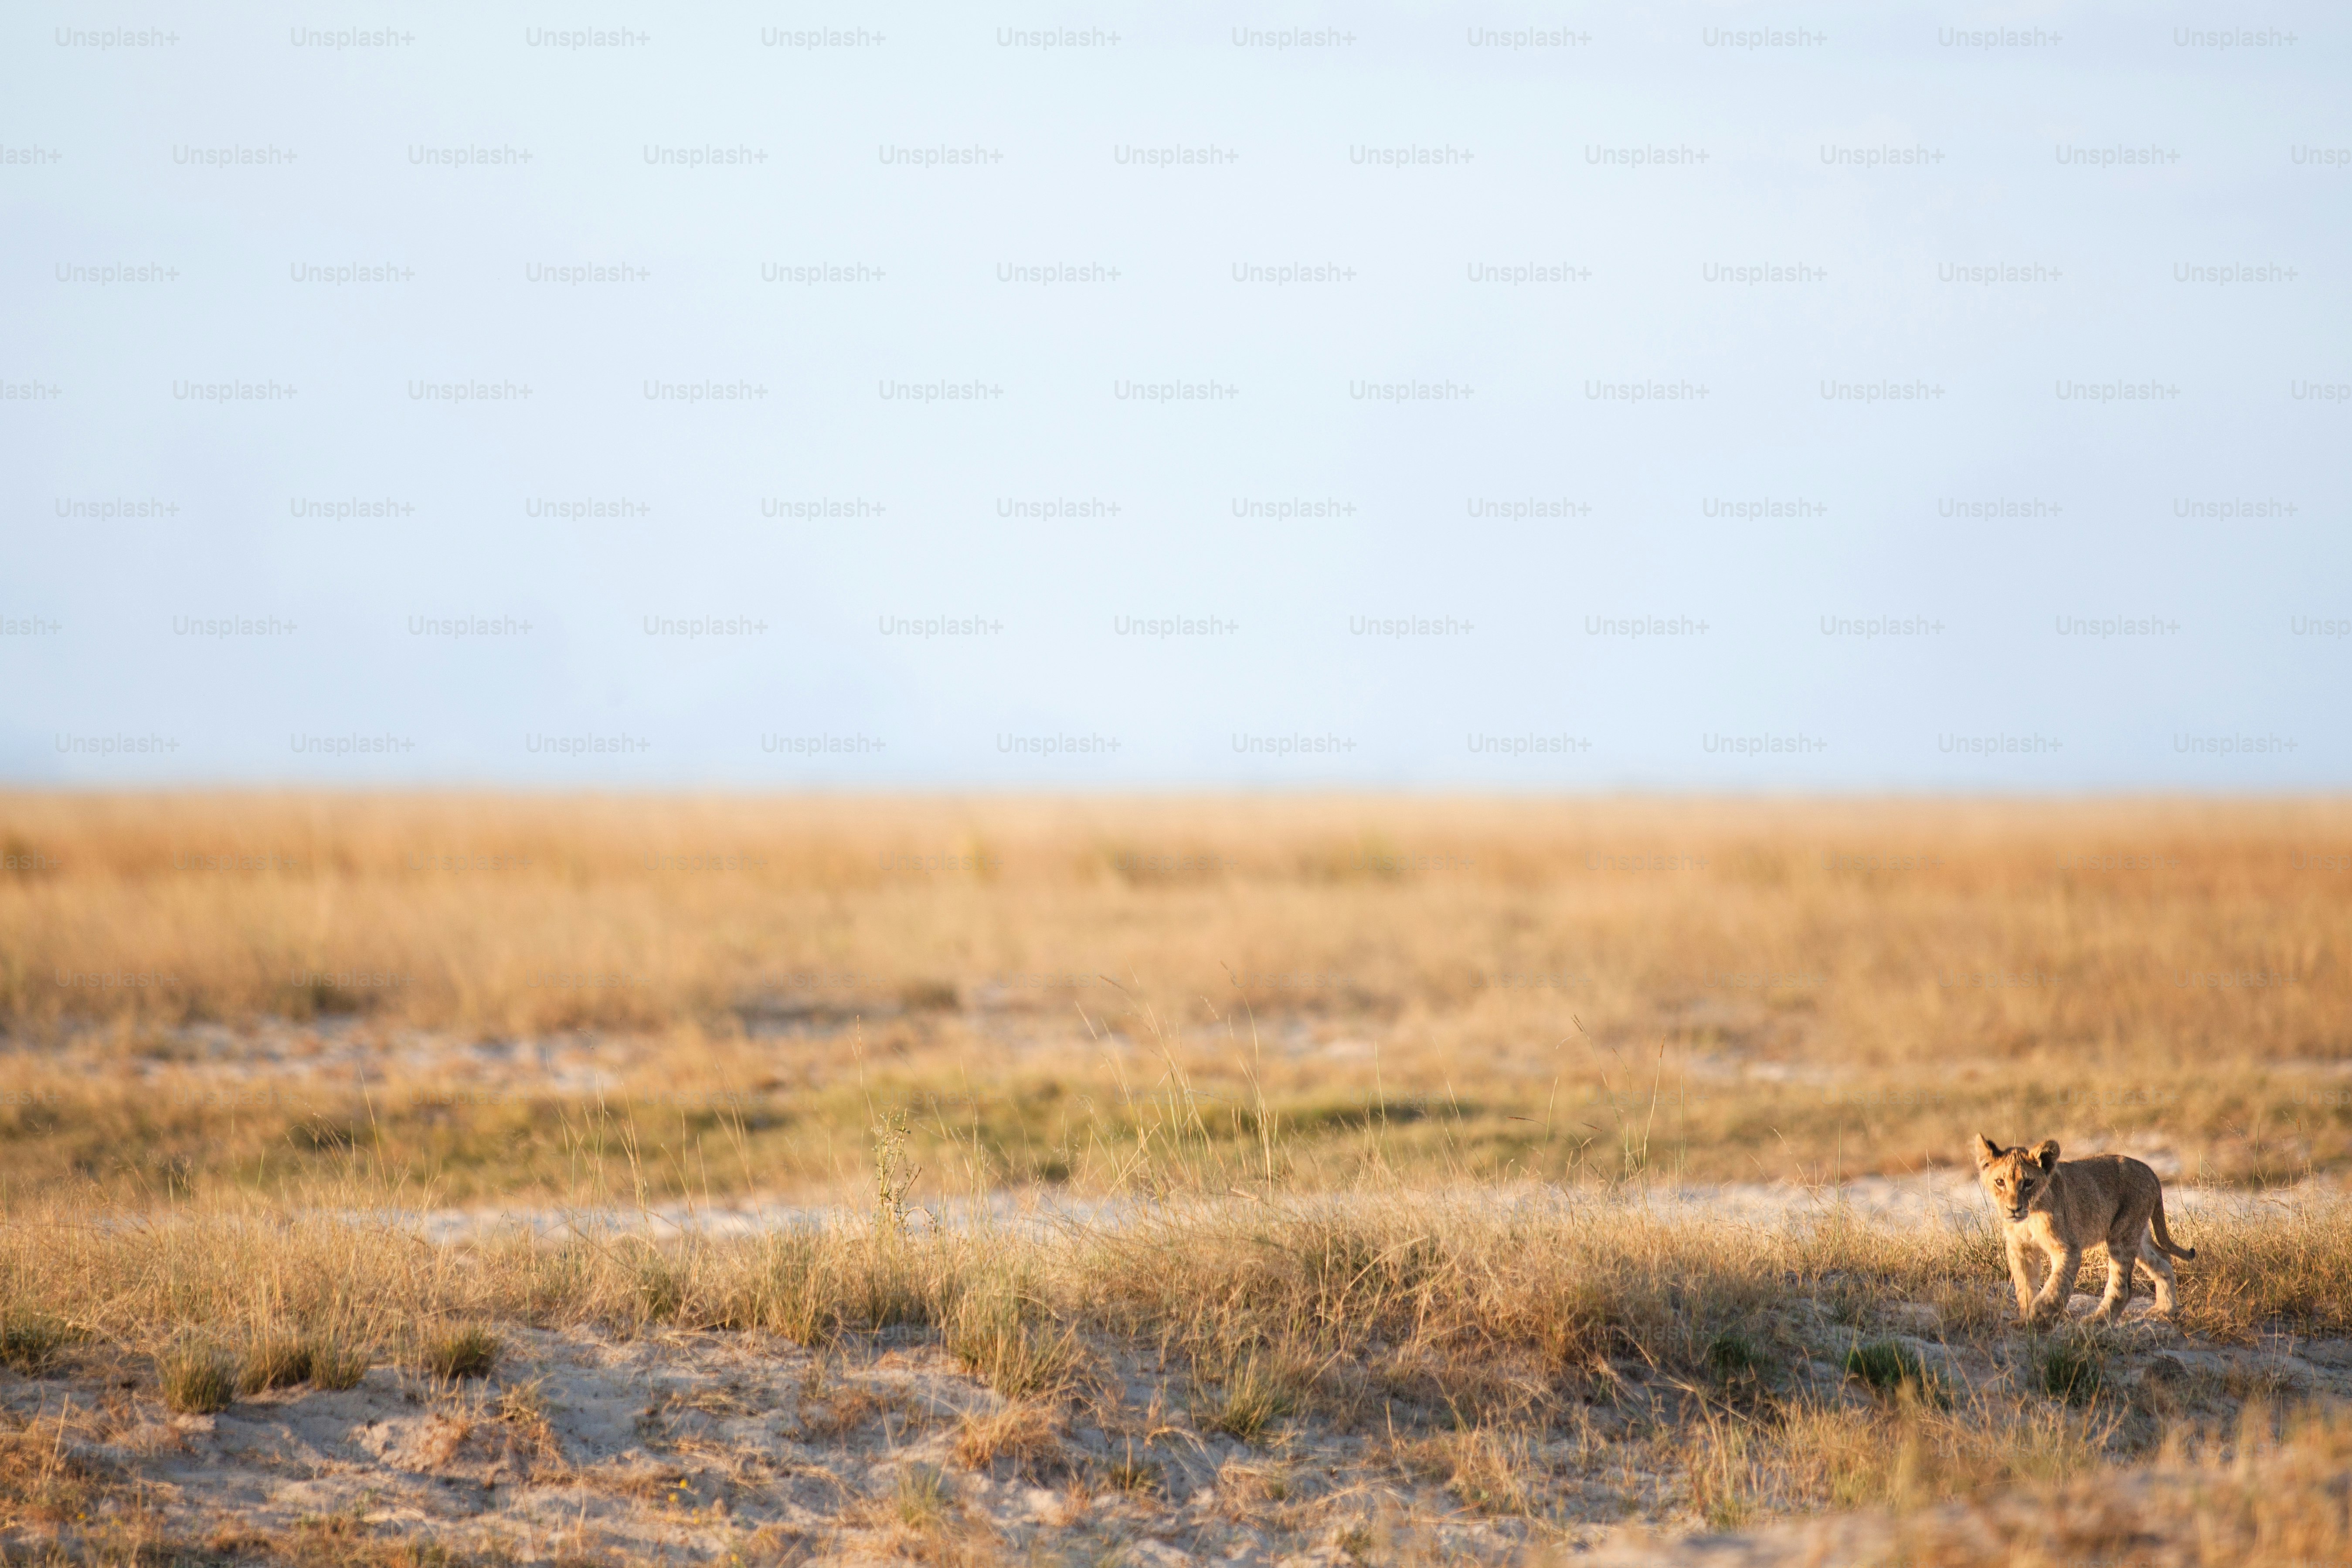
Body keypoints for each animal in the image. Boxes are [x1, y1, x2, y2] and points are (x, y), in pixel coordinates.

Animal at [1973, 1134, 2196, 1326]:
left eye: (2028, 1183)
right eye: (2000, 1182)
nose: (2014, 1209)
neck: (2030, 1215)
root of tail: (2149, 1170)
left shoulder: (2068, 1247)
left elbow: (2057, 1285)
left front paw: (2039, 1316)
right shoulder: (2021, 1249)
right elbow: (2025, 1287)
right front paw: (2025, 1320)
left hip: (2122, 1234)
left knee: (2122, 1287)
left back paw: (2097, 1321)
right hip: (2136, 1234)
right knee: (2162, 1260)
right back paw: (2165, 1310)